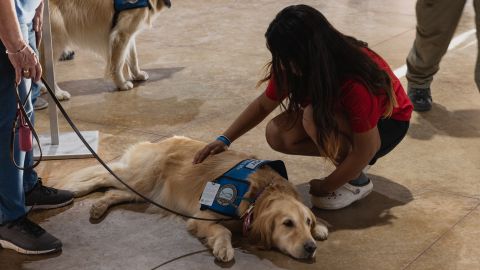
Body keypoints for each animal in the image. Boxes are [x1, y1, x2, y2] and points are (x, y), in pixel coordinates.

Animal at [50, 137, 328, 262]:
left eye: (306, 223)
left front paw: (321, 226)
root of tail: (161, 141)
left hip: (146, 191)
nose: (311, 247)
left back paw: (98, 206)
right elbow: (223, 231)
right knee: (102, 175)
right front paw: (224, 247)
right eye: (287, 224)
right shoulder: (202, 215)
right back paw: (74, 190)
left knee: (114, 192)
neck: (259, 193)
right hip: (140, 179)